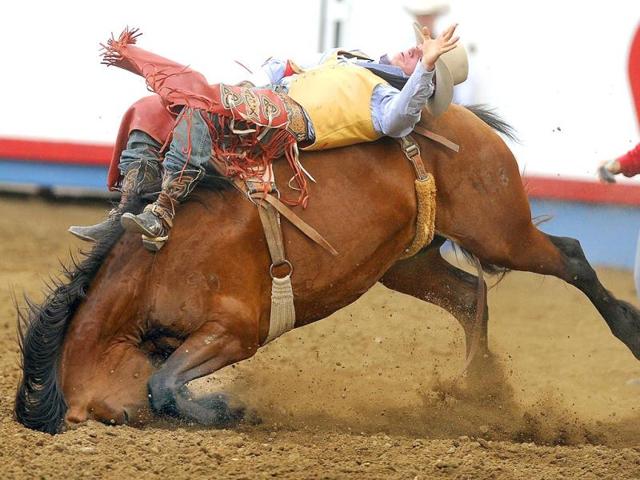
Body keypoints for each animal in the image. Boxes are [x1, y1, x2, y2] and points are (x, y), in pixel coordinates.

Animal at [15, 105, 640, 434]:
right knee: (470, 295)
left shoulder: (236, 330)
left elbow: (163, 383)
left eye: (113, 420)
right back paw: (481, 393)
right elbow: (163, 378)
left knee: (571, 255)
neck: (155, 264)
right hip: (406, 261)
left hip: (499, 231)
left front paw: (229, 406)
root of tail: (460, 115)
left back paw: (629, 330)